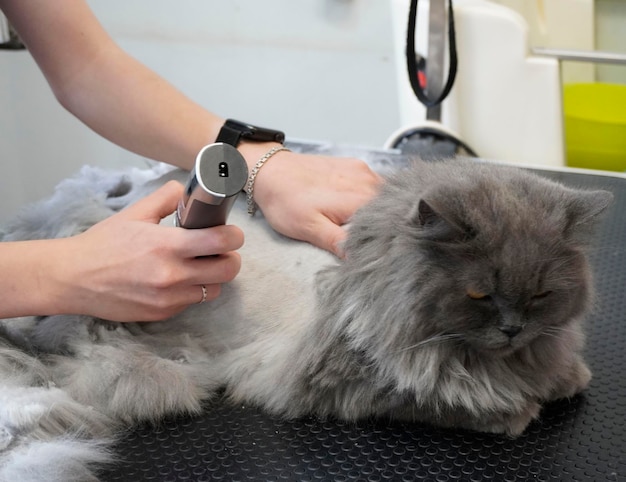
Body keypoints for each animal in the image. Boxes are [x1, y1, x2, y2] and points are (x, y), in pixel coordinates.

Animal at [0, 157, 608, 478]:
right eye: (481, 293)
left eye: (541, 295)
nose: (512, 328)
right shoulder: (356, 384)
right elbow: (450, 398)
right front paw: (518, 411)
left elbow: (561, 372)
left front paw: (566, 378)